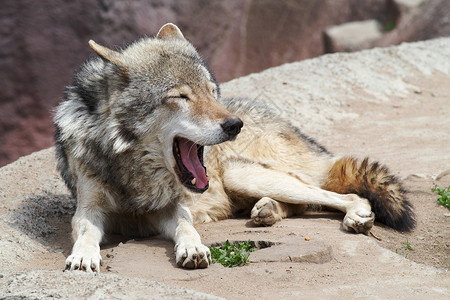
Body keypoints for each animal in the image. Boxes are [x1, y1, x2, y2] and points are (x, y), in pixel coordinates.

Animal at [53, 23, 414, 272]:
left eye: (212, 91)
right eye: (180, 96)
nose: (233, 125)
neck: (133, 169)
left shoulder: (173, 208)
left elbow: (187, 228)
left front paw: (193, 249)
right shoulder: (90, 208)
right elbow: (86, 231)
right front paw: (83, 256)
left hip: (246, 175)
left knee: (341, 196)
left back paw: (353, 216)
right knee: (301, 205)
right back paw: (267, 211)